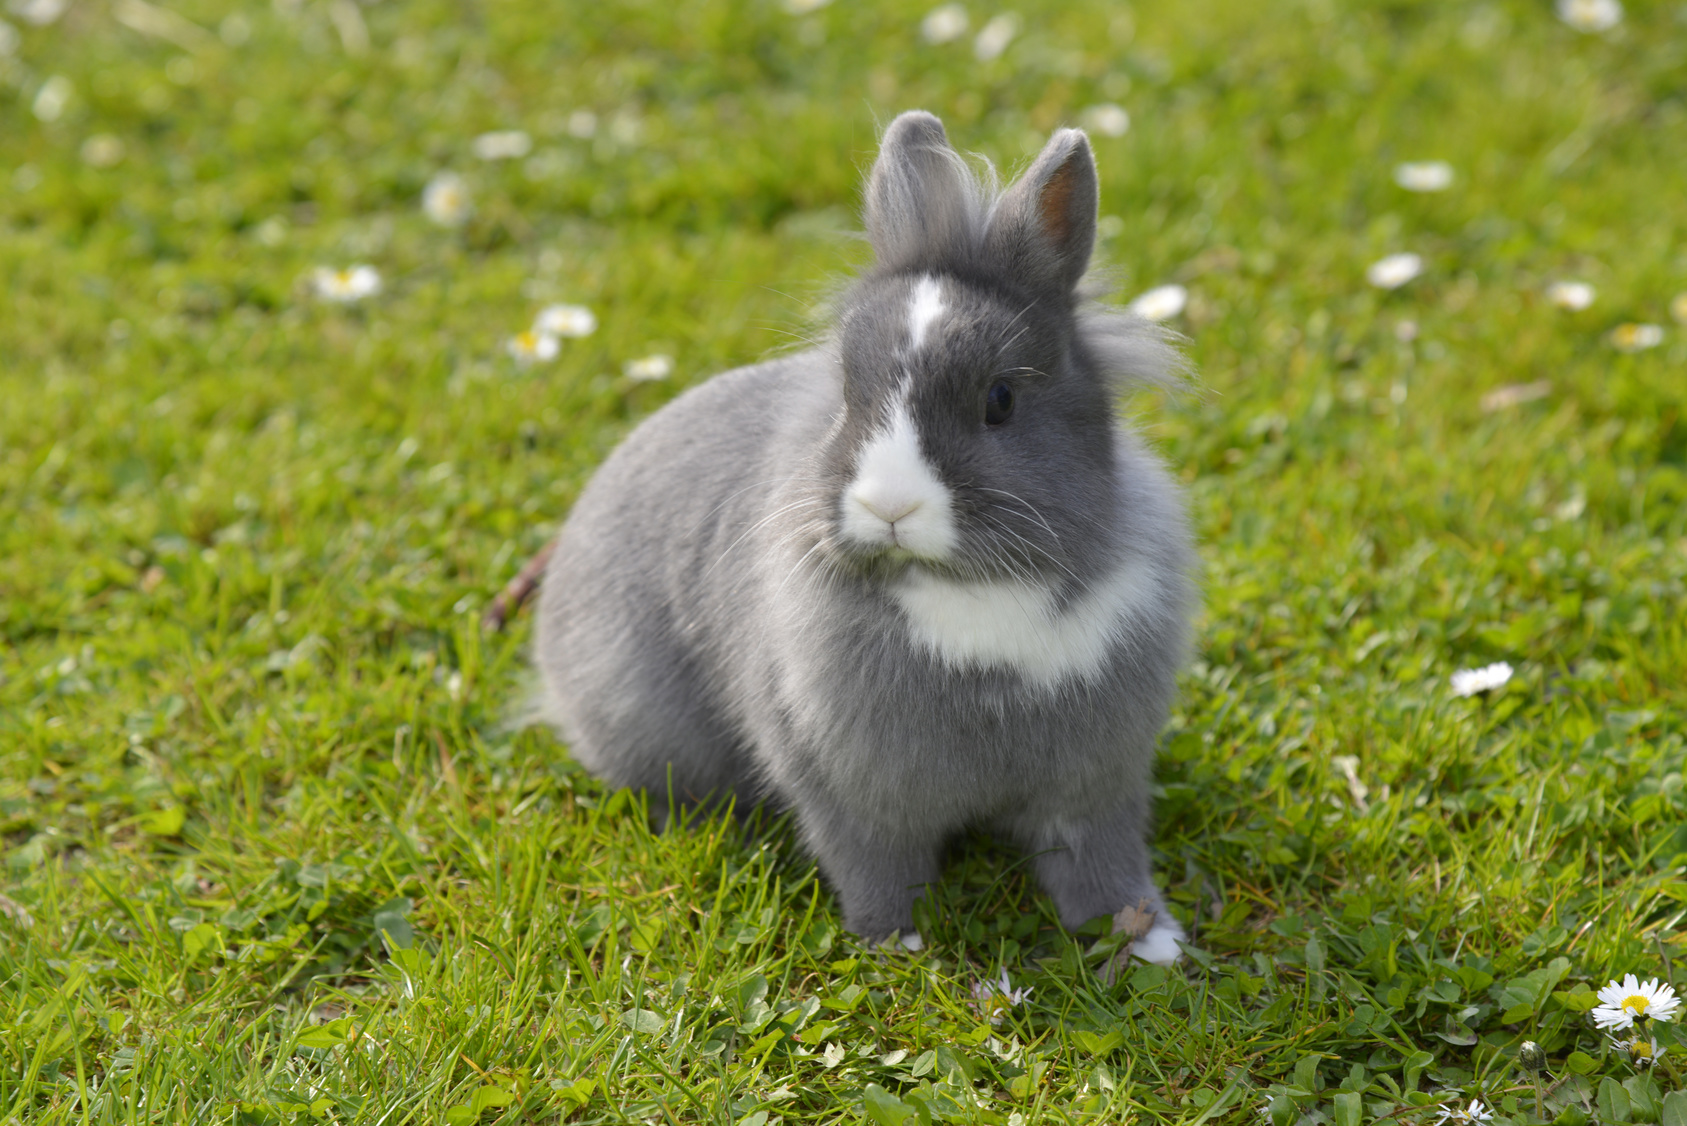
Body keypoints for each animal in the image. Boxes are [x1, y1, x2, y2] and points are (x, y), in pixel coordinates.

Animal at [533, 109, 1194, 965]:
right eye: (847, 394)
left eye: (1000, 400)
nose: (889, 507)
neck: (974, 593)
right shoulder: (850, 790)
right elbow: (876, 865)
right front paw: (895, 944)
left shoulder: (1095, 781)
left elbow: (1101, 863)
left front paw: (1151, 941)